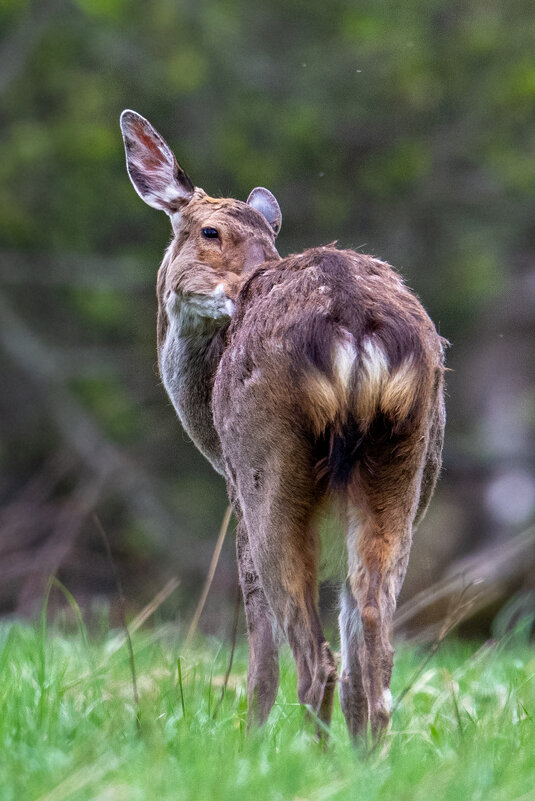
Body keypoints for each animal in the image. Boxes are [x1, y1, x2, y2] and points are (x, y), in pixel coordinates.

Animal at [120, 109, 446, 741]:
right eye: (211, 233)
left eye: (270, 240)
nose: (257, 276)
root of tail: (354, 325)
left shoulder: (235, 498)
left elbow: (259, 647)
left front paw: (248, 736)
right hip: (401, 471)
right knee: (372, 657)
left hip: (269, 473)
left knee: (317, 659)